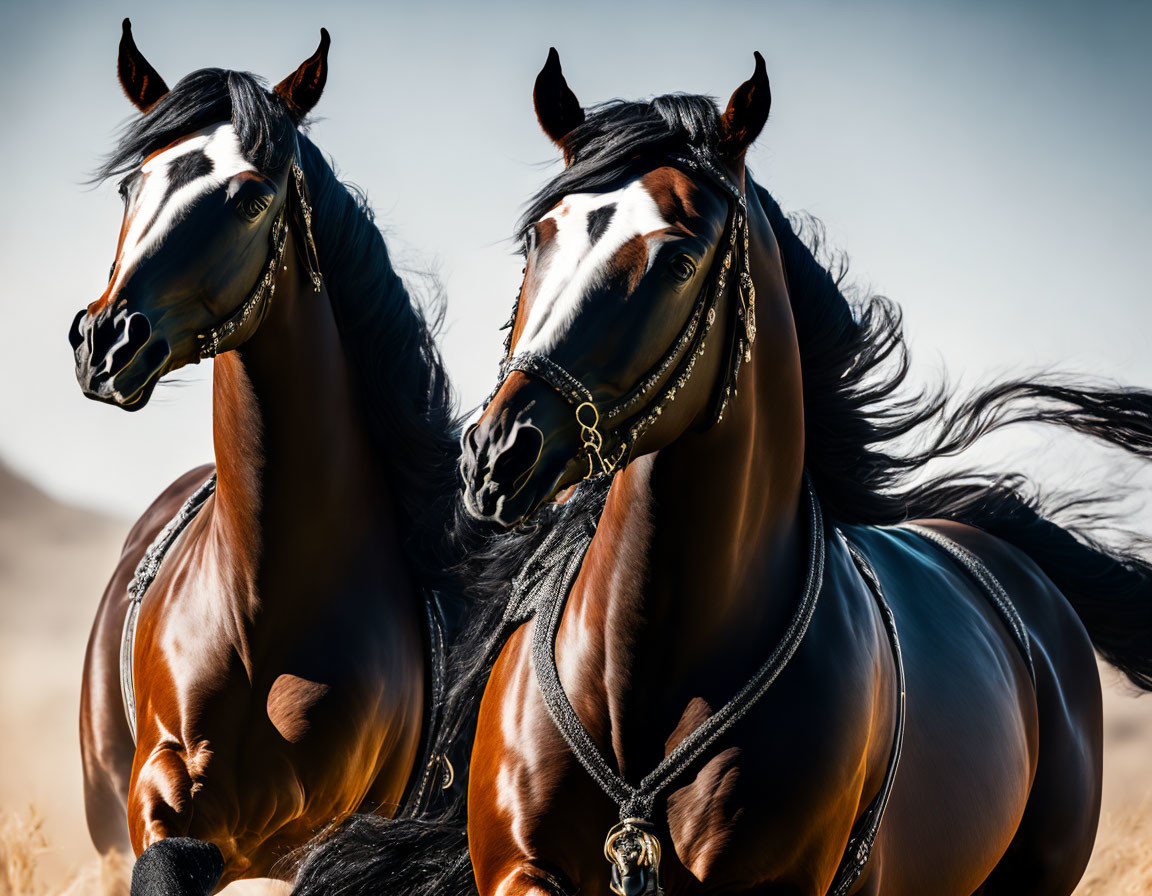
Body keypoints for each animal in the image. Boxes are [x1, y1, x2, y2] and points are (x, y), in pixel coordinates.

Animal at [72, 21, 463, 893]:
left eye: (252, 196)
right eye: (130, 188)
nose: (107, 341)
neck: (262, 606)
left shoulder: (317, 835)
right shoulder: (163, 796)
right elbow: (169, 856)